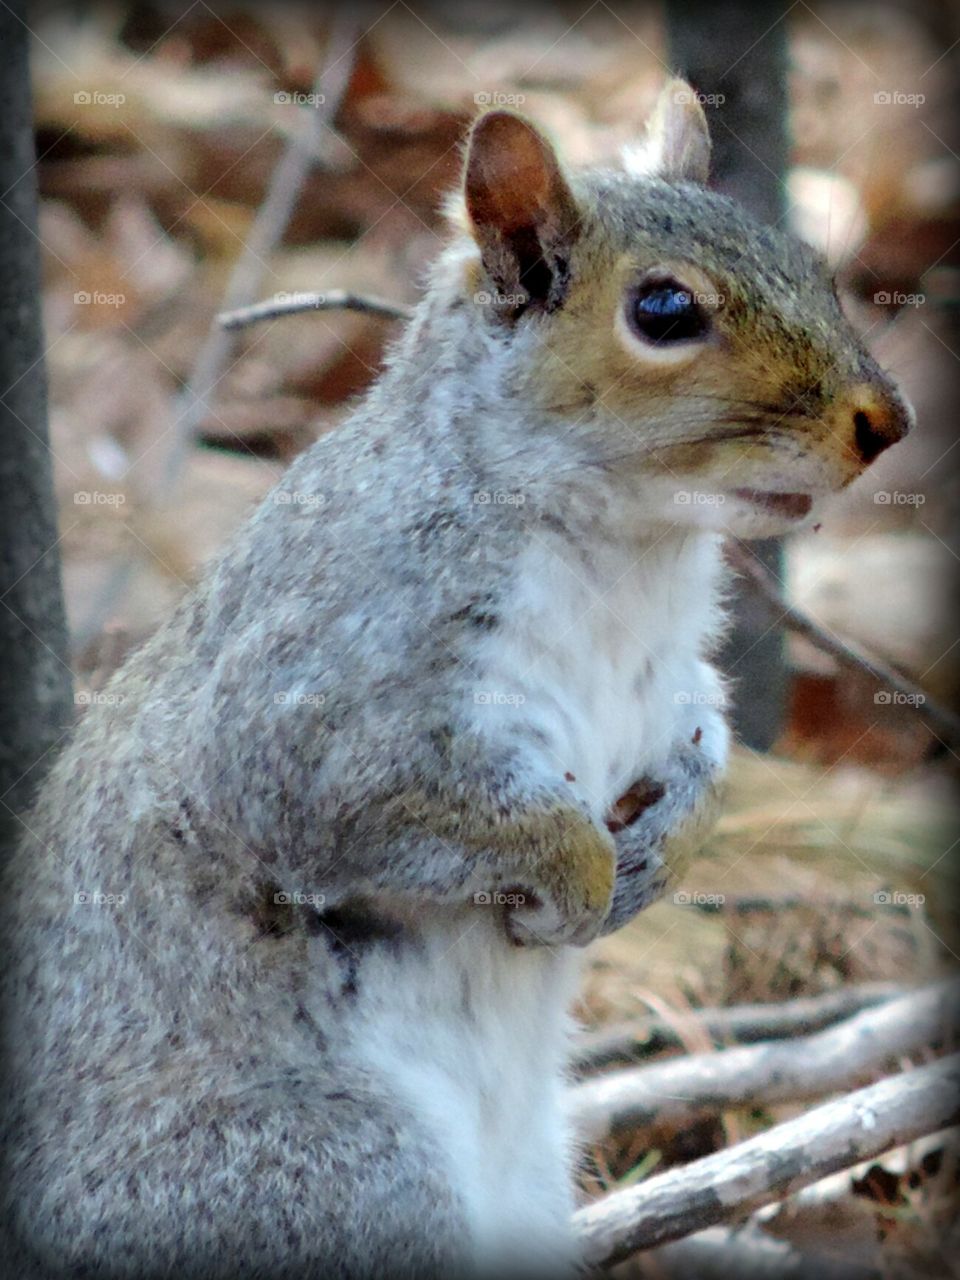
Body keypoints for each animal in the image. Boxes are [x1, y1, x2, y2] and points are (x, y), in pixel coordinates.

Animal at [0, 77, 911, 1280]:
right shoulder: (326, 693)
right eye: (665, 311)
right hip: (331, 1170)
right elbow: (360, 803)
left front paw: (665, 851)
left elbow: (708, 749)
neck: (628, 554)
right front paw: (580, 877)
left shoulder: (671, 686)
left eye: (809, 258)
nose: (885, 422)